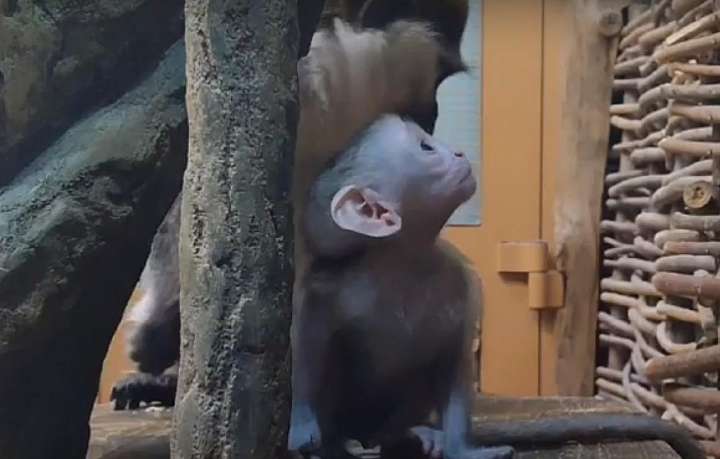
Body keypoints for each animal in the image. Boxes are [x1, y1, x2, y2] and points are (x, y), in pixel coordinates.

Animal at [287, 114, 705, 459]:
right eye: (425, 147)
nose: (458, 153)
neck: (401, 264)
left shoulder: (459, 280)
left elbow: (455, 360)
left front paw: (460, 449)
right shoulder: (336, 286)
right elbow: (309, 340)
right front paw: (302, 422)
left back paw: (414, 434)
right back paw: (341, 442)